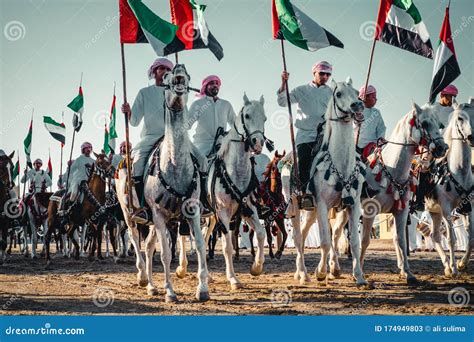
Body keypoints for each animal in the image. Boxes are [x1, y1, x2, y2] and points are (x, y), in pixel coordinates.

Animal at [115, 65, 208, 302]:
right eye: (165, 75)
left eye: (187, 74)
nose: (179, 68)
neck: (174, 165)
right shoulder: (158, 215)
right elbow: (165, 254)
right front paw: (170, 291)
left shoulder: (193, 211)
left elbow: (200, 246)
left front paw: (203, 289)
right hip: (131, 214)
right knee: (135, 239)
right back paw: (143, 278)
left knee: (148, 247)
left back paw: (151, 287)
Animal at [199, 93, 268, 288]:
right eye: (247, 116)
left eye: (265, 118)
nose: (258, 143)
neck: (234, 172)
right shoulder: (223, 213)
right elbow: (228, 246)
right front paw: (233, 278)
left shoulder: (248, 209)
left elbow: (261, 234)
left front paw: (256, 267)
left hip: (211, 218)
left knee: (203, 239)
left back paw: (207, 276)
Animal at [286, 77, 366, 286]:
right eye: (338, 94)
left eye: (357, 92)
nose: (358, 105)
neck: (342, 163)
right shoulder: (322, 204)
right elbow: (325, 241)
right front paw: (321, 272)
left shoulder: (353, 205)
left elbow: (354, 242)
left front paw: (359, 276)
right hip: (296, 206)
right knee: (298, 237)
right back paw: (303, 274)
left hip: (311, 210)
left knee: (304, 233)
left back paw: (300, 272)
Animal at [332, 103, 446, 284]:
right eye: (425, 123)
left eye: (439, 123)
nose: (443, 148)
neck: (392, 169)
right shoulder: (370, 211)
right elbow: (365, 241)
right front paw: (359, 272)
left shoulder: (401, 211)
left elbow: (401, 241)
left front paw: (408, 273)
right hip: (346, 209)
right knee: (336, 233)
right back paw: (333, 268)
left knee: (336, 233)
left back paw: (334, 269)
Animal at [426, 103, 474, 276]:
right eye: (460, 118)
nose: (472, 137)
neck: (458, 171)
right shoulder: (447, 209)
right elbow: (452, 239)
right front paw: (454, 269)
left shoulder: (469, 207)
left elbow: (471, 237)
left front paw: (461, 264)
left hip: (435, 212)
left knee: (435, 236)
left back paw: (446, 265)